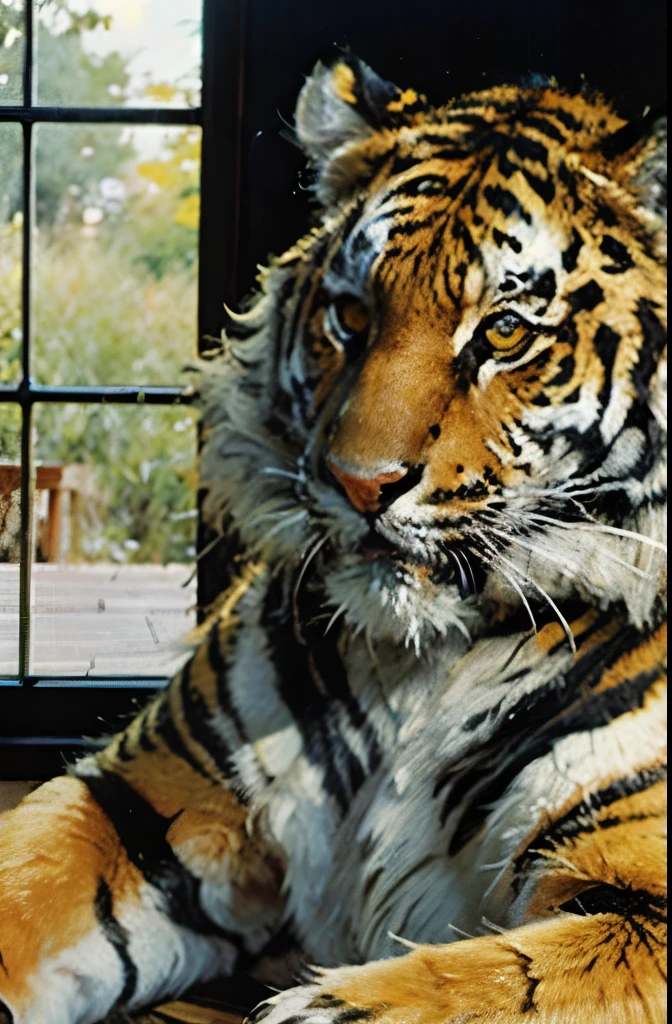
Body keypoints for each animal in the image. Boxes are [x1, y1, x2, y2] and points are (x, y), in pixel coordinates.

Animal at [0, 54, 663, 1024]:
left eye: (505, 332)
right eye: (352, 315)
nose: (361, 484)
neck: (419, 662)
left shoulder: (637, 900)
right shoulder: (150, 798)